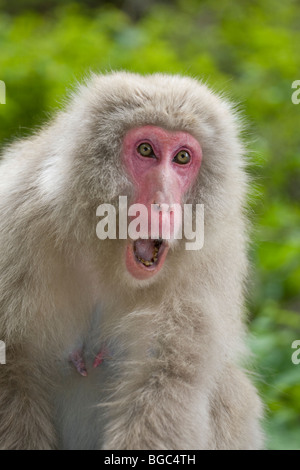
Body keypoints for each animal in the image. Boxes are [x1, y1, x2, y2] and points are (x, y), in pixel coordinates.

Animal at [0, 71, 262, 450]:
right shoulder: (15, 222)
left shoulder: (206, 267)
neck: (104, 259)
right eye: (146, 150)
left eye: (182, 158)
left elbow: (162, 383)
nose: (164, 205)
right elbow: (12, 370)